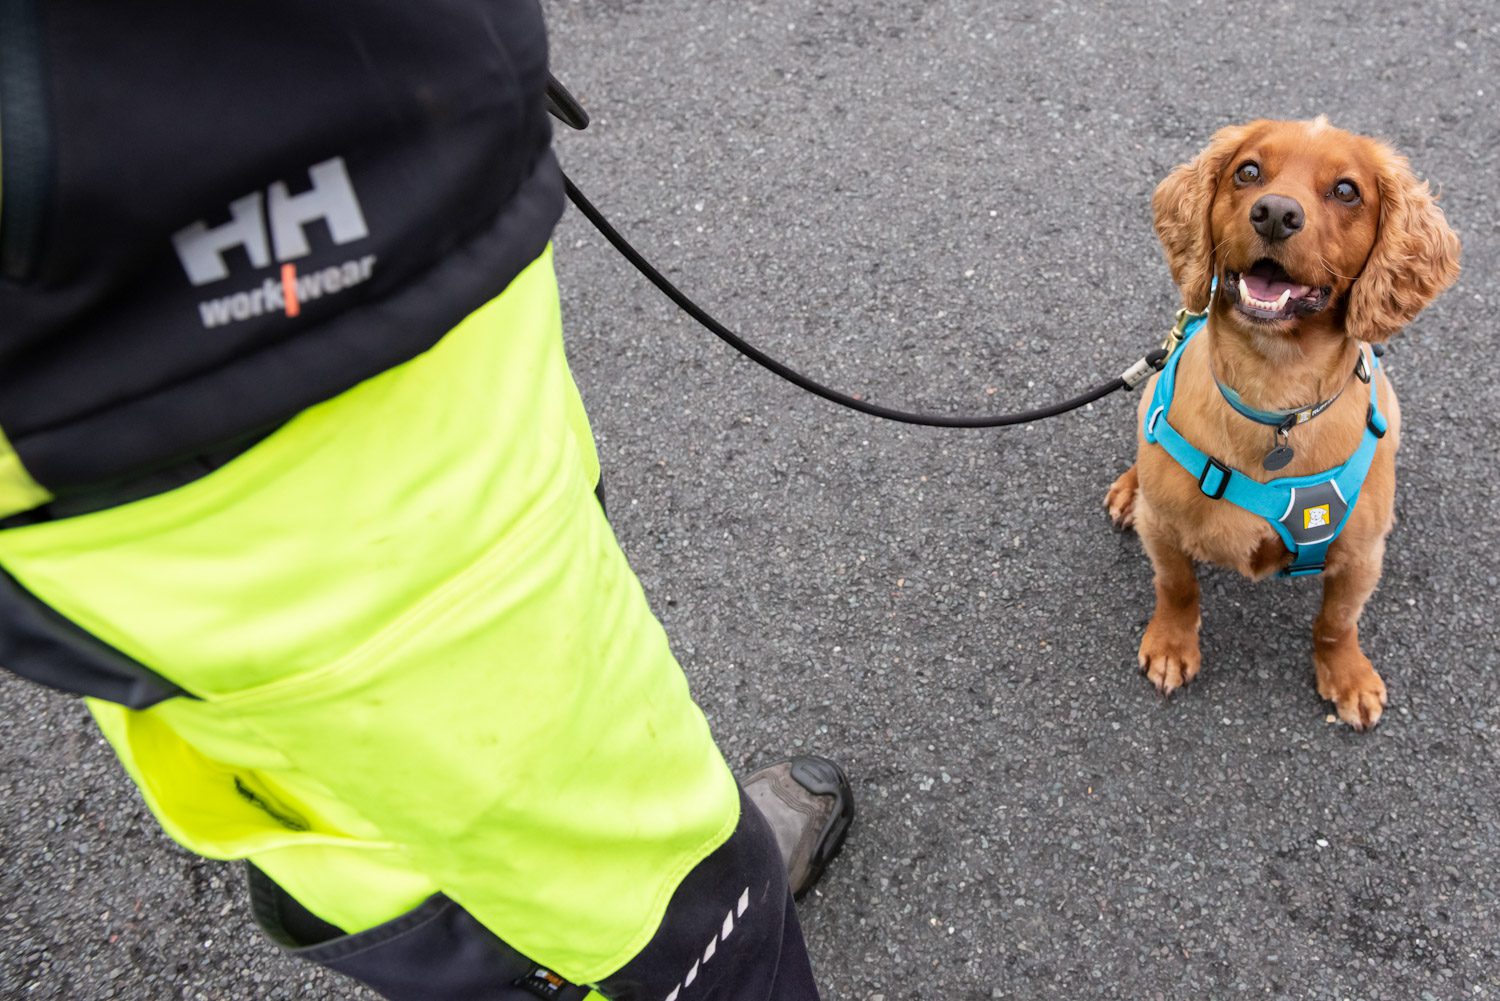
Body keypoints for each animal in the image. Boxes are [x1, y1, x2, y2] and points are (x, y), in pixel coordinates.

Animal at [1110, 119, 1458, 729]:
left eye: (1346, 191)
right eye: (1248, 171)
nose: (1274, 213)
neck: (1275, 395)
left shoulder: (1361, 557)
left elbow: (1337, 623)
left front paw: (1347, 677)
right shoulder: (1165, 530)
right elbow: (1176, 586)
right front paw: (1172, 645)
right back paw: (1129, 489)